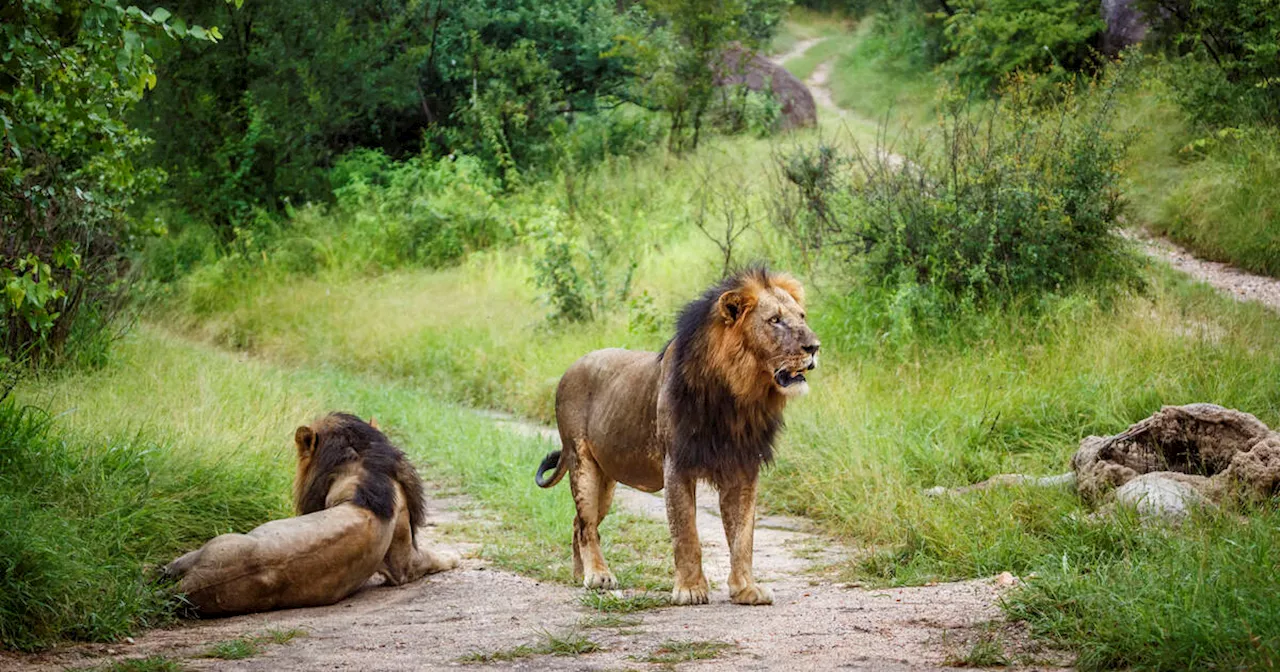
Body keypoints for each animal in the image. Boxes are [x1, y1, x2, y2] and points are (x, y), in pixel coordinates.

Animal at [162, 412, 458, 616]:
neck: (361, 466)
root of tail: (193, 585)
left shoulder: (403, 566)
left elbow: (432, 558)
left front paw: (453, 557)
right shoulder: (403, 563)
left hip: (212, 545)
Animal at [532, 264, 819, 604]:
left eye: (801, 316)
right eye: (774, 320)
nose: (814, 347)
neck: (738, 396)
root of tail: (571, 368)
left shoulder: (744, 467)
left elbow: (742, 537)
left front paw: (746, 589)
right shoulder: (678, 465)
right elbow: (686, 533)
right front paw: (690, 589)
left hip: (606, 481)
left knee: (578, 523)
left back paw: (579, 575)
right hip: (583, 465)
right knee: (587, 525)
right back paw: (598, 575)